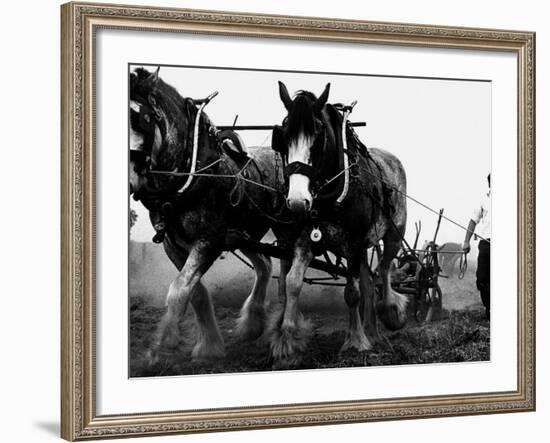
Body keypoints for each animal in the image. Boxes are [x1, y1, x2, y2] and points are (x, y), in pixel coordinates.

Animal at [129, 67, 284, 364]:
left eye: (142, 118)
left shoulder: (208, 241)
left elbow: (179, 291)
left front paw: (159, 347)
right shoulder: (173, 245)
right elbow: (196, 293)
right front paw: (210, 346)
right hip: (243, 234)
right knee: (265, 265)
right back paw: (252, 325)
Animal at [272, 82, 410, 368]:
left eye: (317, 135)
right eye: (284, 134)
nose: (297, 201)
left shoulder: (354, 242)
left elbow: (352, 293)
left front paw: (355, 341)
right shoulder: (305, 241)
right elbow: (292, 283)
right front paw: (287, 344)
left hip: (393, 232)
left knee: (383, 271)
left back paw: (391, 311)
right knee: (369, 281)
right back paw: (373, 331)